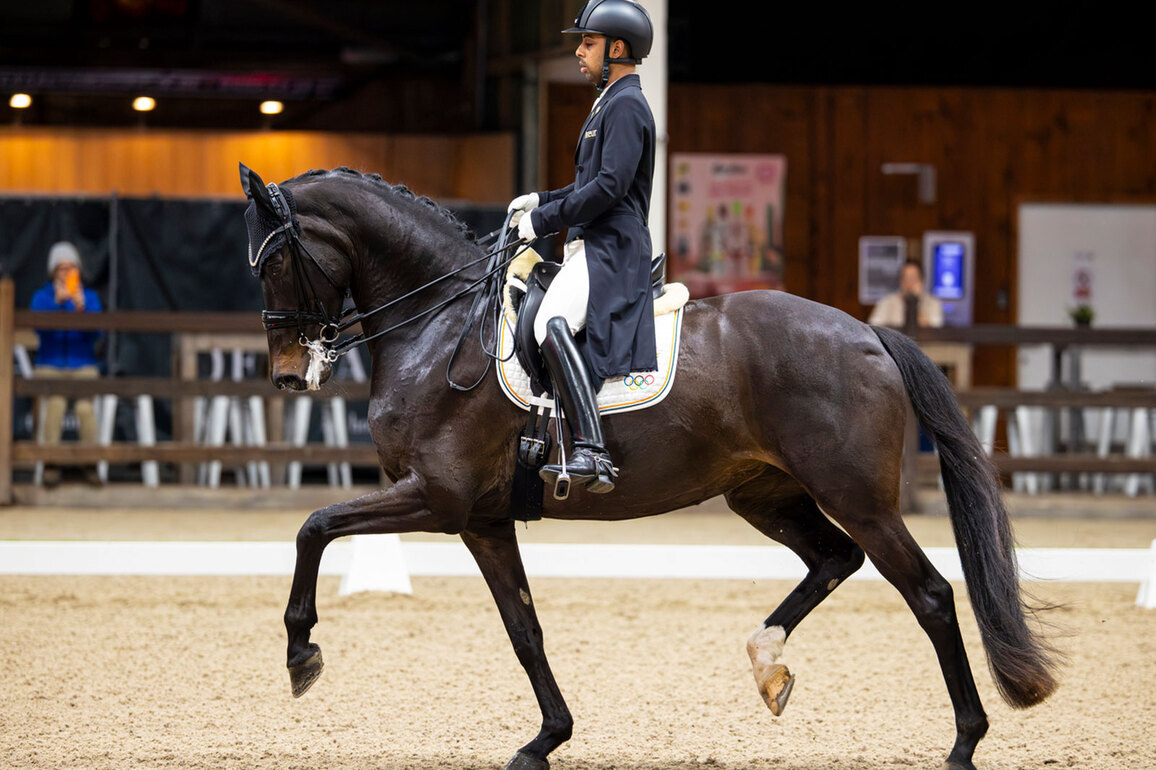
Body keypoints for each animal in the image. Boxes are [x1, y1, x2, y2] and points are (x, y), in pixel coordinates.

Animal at [239, 164, 1058, 770]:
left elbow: (315, 525)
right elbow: (524, 630)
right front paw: (546, 740)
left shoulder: (438, 498)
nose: (286, 374)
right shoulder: (482, 518)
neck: (442, 324)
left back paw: (963, 744)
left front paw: (301, 653)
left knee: (929, 595)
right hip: (766, 495)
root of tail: (866, 332)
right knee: (835, 559)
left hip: (858, 497)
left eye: (274, 259)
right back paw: (768, 665)